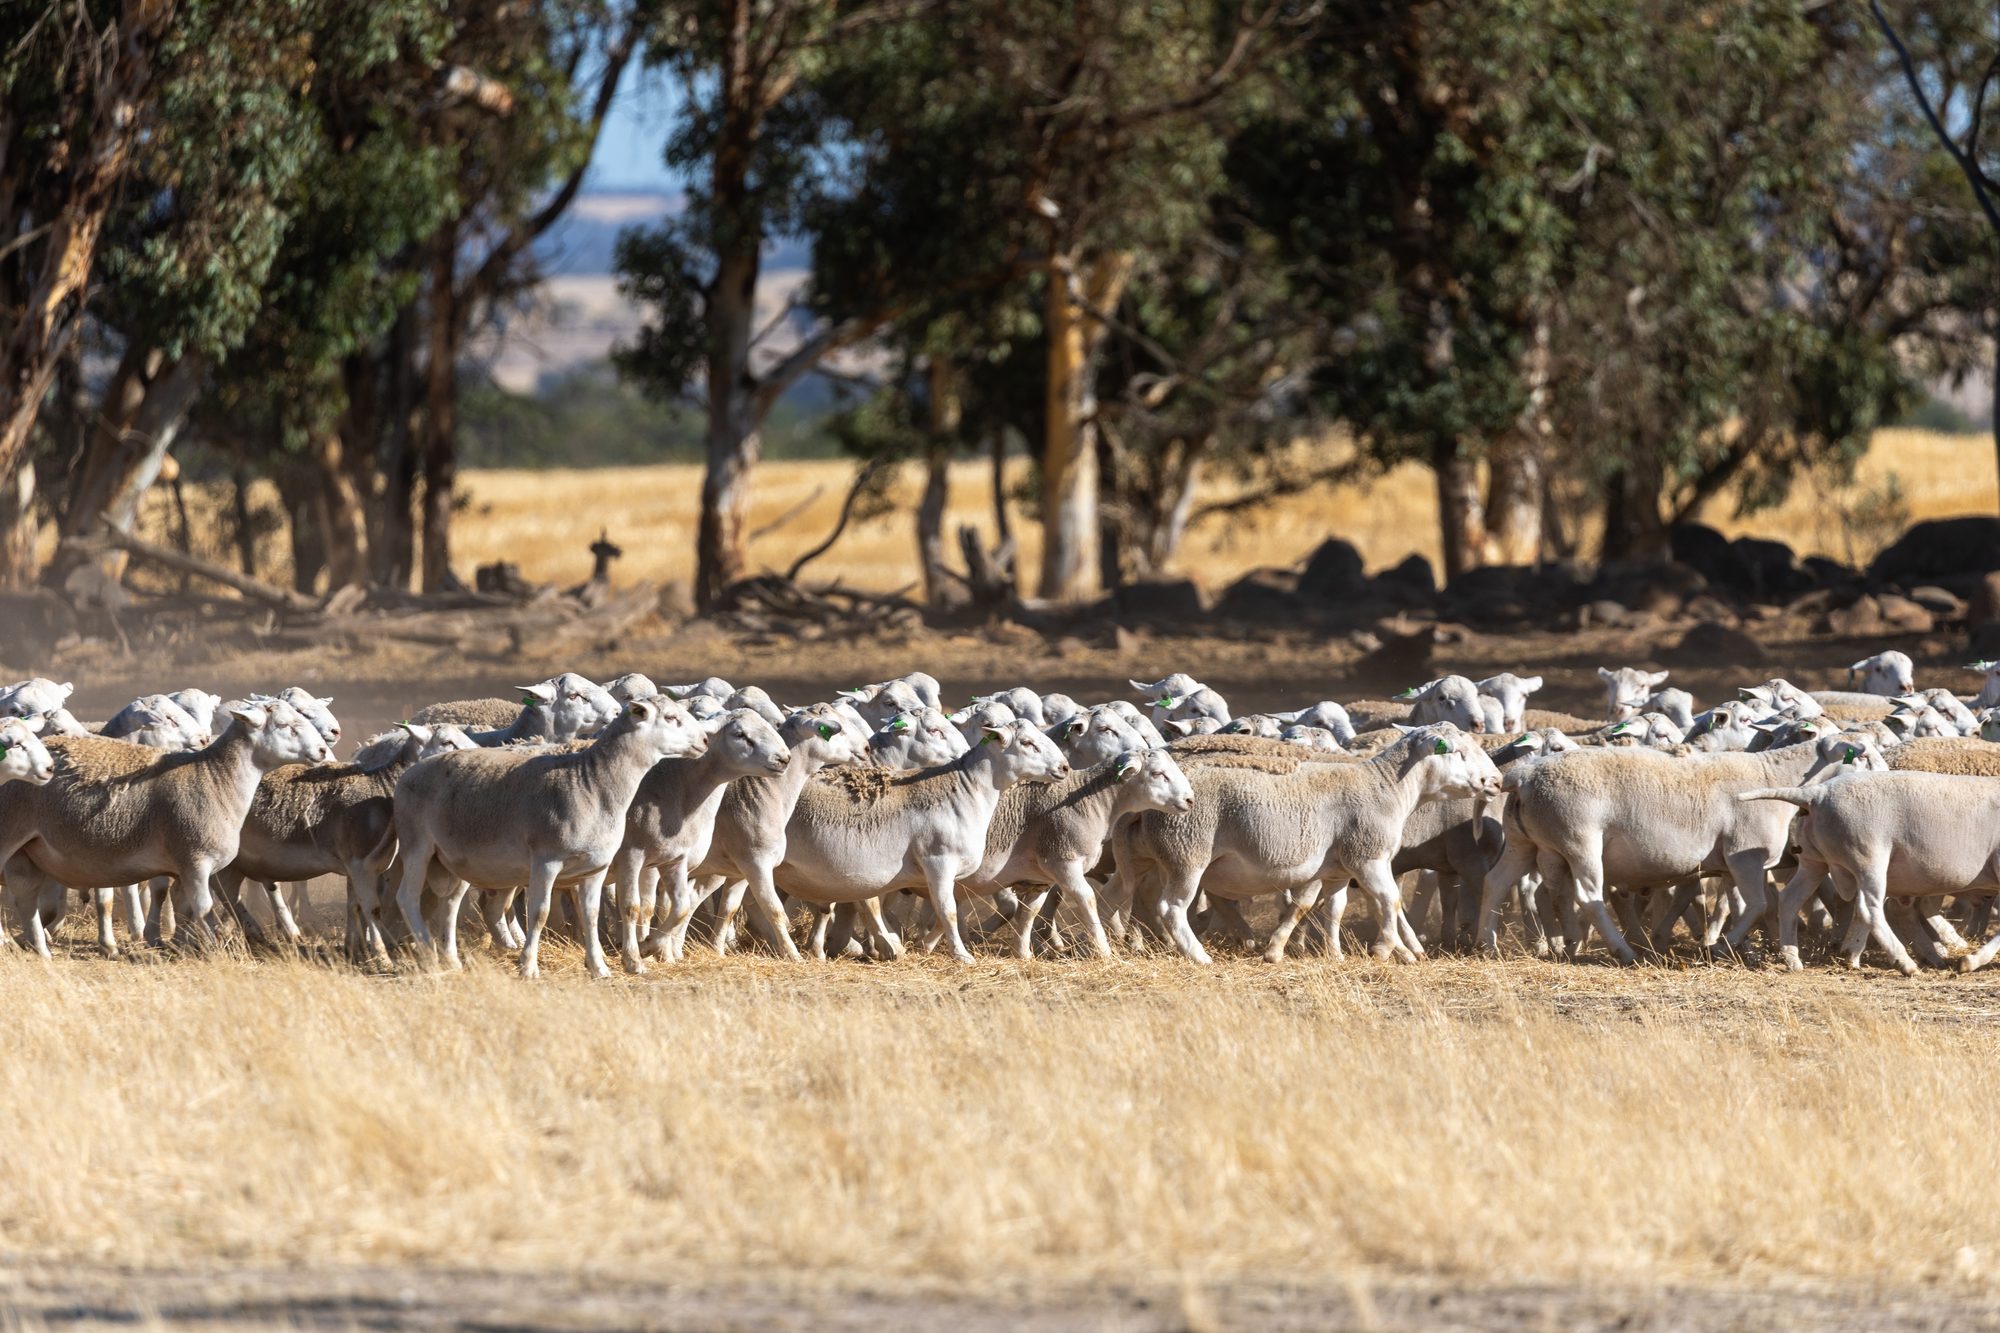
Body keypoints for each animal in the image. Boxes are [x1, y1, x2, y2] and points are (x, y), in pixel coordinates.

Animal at [0, 702, 331, 957]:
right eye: (286, 724)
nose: (321, 750)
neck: (216, 778)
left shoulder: (182, 867)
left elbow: (183, 906)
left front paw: (183, 945)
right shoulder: (195, 860)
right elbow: (203, 907)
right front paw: (215, 949)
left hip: (28, 853)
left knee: (26, 897)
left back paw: (40, 948)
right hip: (9, 838)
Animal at [390, 697, 707, 978]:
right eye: (671, 718)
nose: (705, 740)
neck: (593, 785)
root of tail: (409, 773)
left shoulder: (595, 868)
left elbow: (591, 915)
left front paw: (599, 968)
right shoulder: (546, 860)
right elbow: (539, 913)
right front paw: (528, 967)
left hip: (453, 860)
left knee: (450, 904)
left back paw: (452, 960)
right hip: (416, 845)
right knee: (406, 897)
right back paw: (429, 953)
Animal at [772, 720, 1071, 964]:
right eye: (1027, 743)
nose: (1065, 767)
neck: (967, 790)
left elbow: (943, 911)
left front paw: (923, 946)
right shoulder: (938, 862)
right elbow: (947, 911)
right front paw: (961, 955)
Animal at [1120, 724, 1501, 965]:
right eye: (1460, 752)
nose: (1496, 781)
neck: (1388, 787)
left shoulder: (1336, 870)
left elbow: (1328, 908)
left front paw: (1326, 953)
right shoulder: (1368, 858)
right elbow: (1389, 900)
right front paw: (1383, 950)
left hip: (1152, 858)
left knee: (1139, 899)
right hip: (1188, 854)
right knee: (1171, 907)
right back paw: (1198, 955)